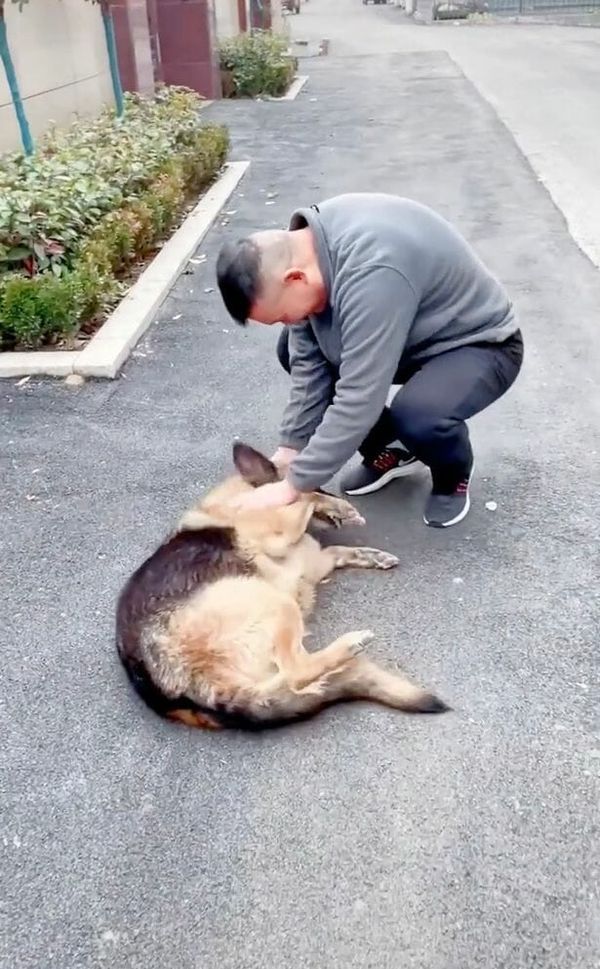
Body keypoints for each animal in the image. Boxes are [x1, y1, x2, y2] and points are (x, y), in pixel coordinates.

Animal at [116, 442, 450, 728]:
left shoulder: (315, 561)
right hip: (275, 603)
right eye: (319, 484)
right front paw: (337, 506)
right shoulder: (282, 533)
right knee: (295, 674)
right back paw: (348, 645)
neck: (238, 499)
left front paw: (372, 555)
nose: (338, 500)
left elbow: (339, 549)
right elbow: (303, 498)